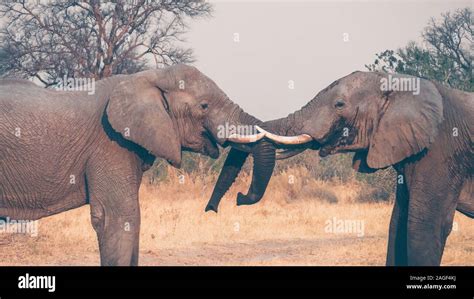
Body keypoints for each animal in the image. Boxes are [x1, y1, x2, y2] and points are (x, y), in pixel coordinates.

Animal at [0, 64, 276, 266]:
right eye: (204, 106)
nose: (238, 198)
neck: (149, 76)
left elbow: (134, 217)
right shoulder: (111, 143)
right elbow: (120, 217)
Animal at [209, 71, 472, 268]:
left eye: (339, 104)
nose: (238, 197)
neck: (400, 83)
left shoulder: (441, 151)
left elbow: (423, 227)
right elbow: (397, 224)